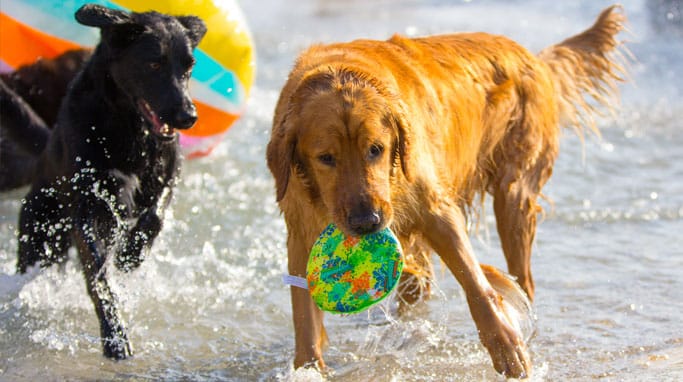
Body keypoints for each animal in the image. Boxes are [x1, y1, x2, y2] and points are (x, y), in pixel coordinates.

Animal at [1, 4, 207, 360]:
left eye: (189, 66)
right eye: (154, 63)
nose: (188, 117)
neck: (129, 128)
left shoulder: (169, 172)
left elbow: (156, 215)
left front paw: (131, 253)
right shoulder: (87, 209)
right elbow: (98, 279)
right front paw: (115, 336)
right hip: (40, 234)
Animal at [266, 4, 624, 378]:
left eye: (376, 149)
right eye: (326, 158)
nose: (368, 222)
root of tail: (533, 58)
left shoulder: (435, 209)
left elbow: (475, 283)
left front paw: (506, 347)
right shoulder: (302, 229)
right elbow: (304, 314)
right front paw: (307, 367)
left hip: (514, 197)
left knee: (523, 277)